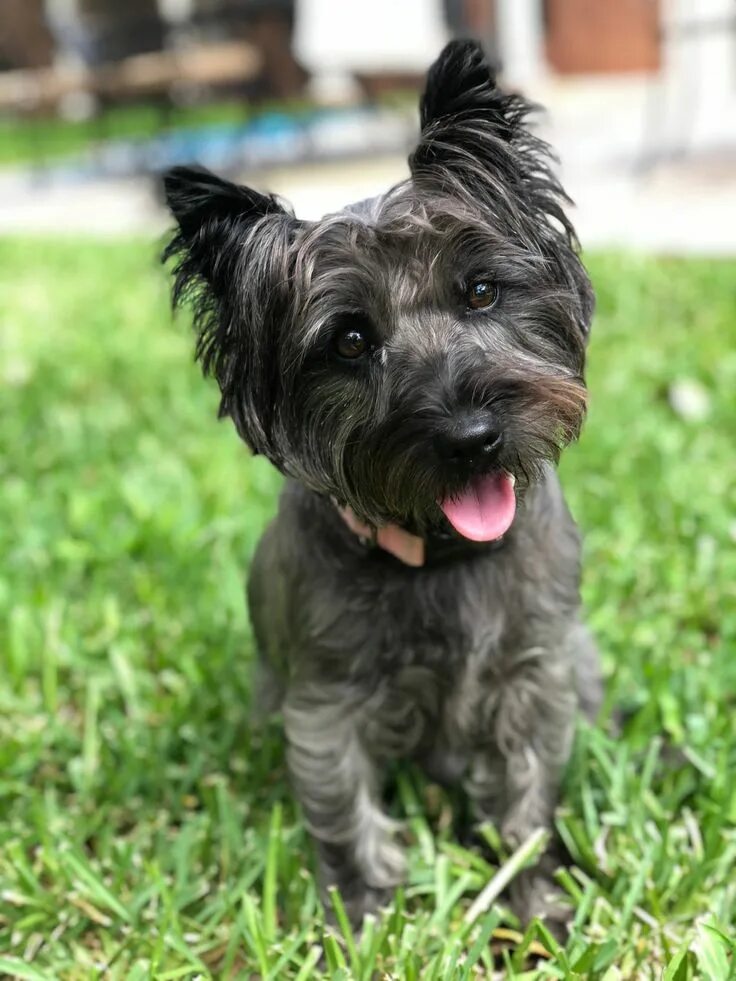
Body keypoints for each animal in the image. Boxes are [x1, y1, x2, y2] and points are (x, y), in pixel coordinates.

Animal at [164, 38, 600, 928]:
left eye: (481, 289)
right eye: (351, 341)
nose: (470, 438)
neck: (442, 555)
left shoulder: (536, 678)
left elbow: (526, 797)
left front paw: (537, 893)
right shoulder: (327, 708)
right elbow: (345, 812)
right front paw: (362, 915)